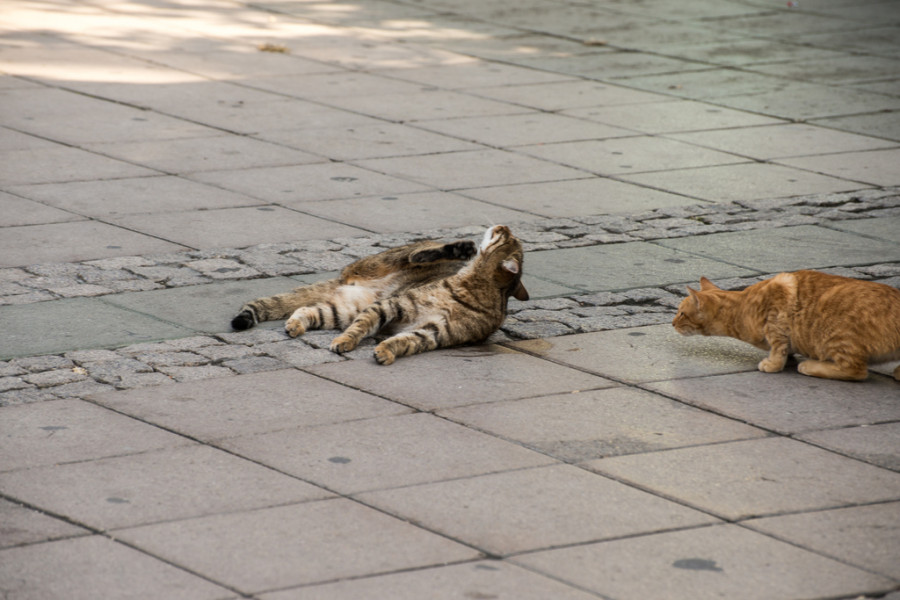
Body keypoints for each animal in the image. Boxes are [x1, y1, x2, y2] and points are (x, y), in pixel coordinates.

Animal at [232, 225, 528, 366]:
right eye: (508, 235)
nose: (502, 225)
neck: (468, 285)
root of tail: (344, 279)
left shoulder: (433, 332)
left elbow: (405, 341)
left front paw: (386, 350)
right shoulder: (392, 305)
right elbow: (360, 329)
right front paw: (345, 341)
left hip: (343, 310)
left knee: (307, 310)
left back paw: (295, 324)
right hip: (383, 263)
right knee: (413, 254)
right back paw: (458, 248)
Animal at [672, 270, 900, 382]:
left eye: (681, 313)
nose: (672, 323)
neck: (741, 308)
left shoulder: (776, 316)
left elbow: (778, 347)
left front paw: (773, 364)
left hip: (837, 334)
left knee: (856, 370)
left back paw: (811, 366)